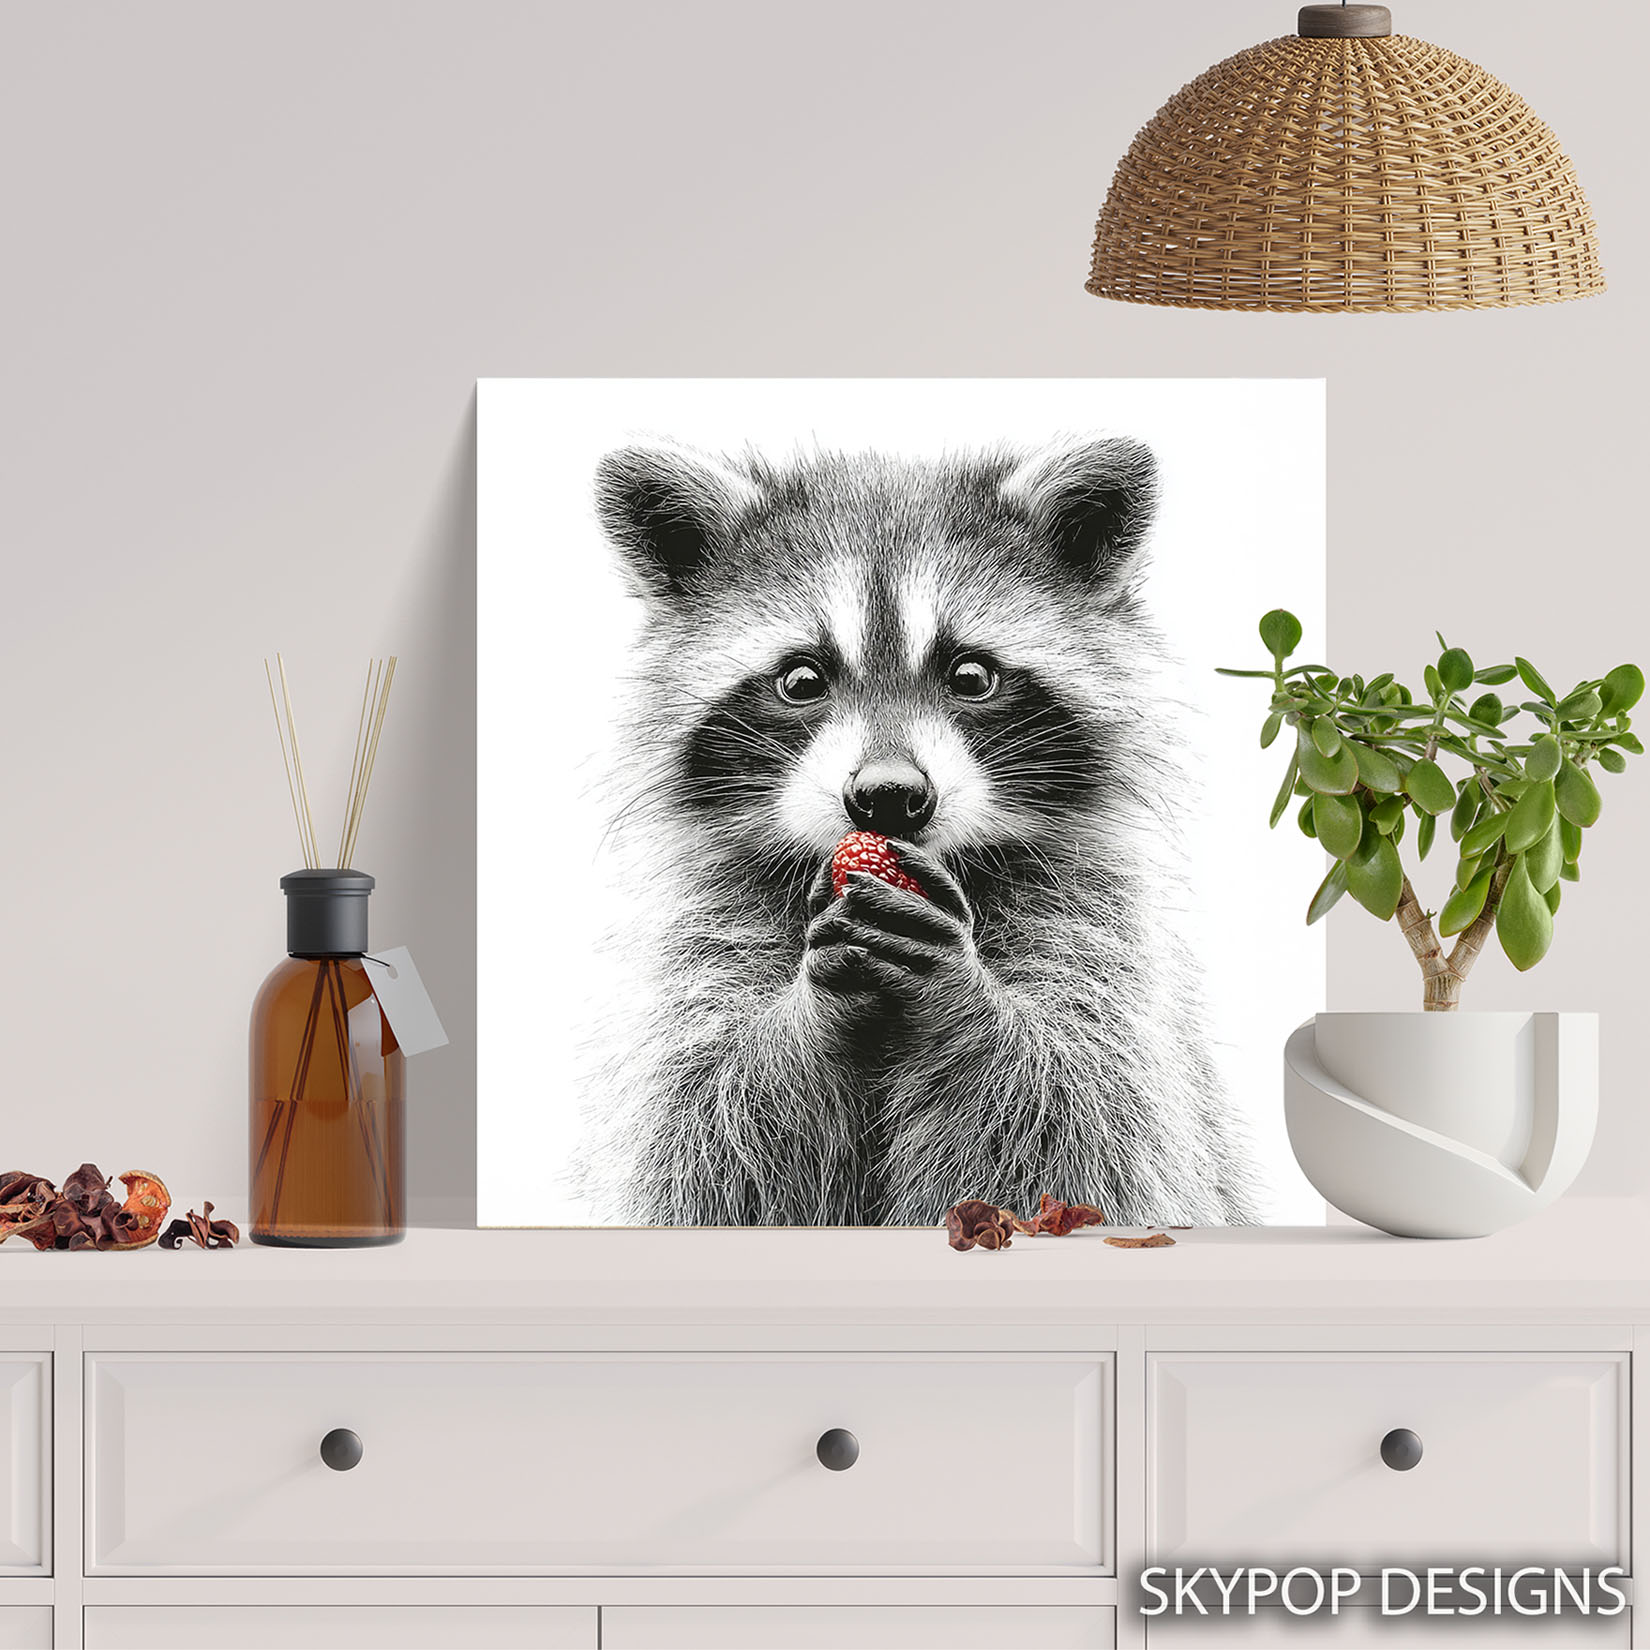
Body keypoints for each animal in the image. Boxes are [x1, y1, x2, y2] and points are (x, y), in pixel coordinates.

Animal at [579, 437, 1262, 1228]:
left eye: (971, 675)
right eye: (802, 680)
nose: (888, 796)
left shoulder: (1097, 937)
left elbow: (1087, 1134)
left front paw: (964, 998)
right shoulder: (701, 942)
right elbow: (700, 1146)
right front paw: (809, 1009)